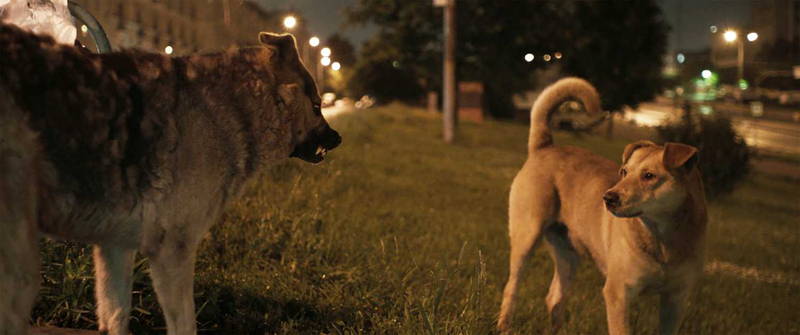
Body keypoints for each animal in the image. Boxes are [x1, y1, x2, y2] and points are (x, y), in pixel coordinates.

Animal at [496, 77, 708, 334]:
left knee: (554, 297)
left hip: (568, 254)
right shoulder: (618, 293)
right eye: (624, 172)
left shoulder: (675, 300)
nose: (608, 198)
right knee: (512, 287)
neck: (662, 239)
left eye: (648, 176)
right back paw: (504, 325)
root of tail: (545, 147)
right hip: (526, 237)